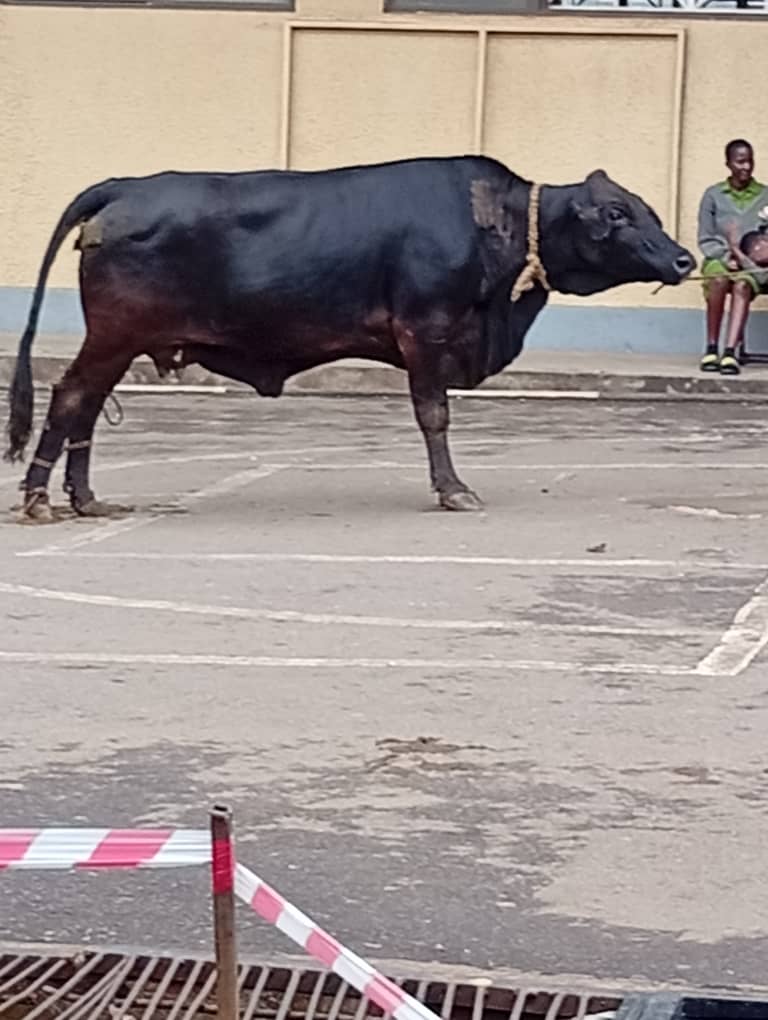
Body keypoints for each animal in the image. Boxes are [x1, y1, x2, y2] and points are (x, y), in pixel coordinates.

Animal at [4, 155, 694, 521]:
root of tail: (126, 186)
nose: (685, 259)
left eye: (648, 210)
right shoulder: (424, 331)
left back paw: (85, 499)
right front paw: (453, 490)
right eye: (616, 213)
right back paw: (38, 498)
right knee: (70, 396)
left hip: (120, 344)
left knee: (87, 406)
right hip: (113, 336)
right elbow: (434, 414)